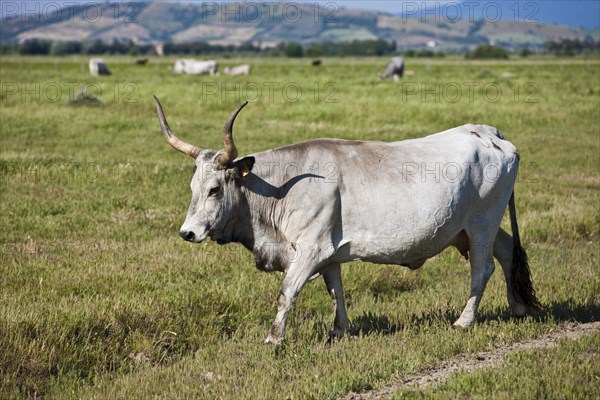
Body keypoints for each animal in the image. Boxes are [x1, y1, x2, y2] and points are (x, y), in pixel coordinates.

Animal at [152, 96, 540, 346]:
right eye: (193, 187)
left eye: (215, 189)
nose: (187, 232)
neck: (279, 187)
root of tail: (488, 132)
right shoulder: (329, 253)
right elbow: (335, 289)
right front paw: (339, 331)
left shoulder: (310, 249)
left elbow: (286, 293)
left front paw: (274, 340)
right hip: (470, 227)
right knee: (507, 253)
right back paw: (519, 307)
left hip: (482, 222)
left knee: (482, 268)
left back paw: (464, 321)